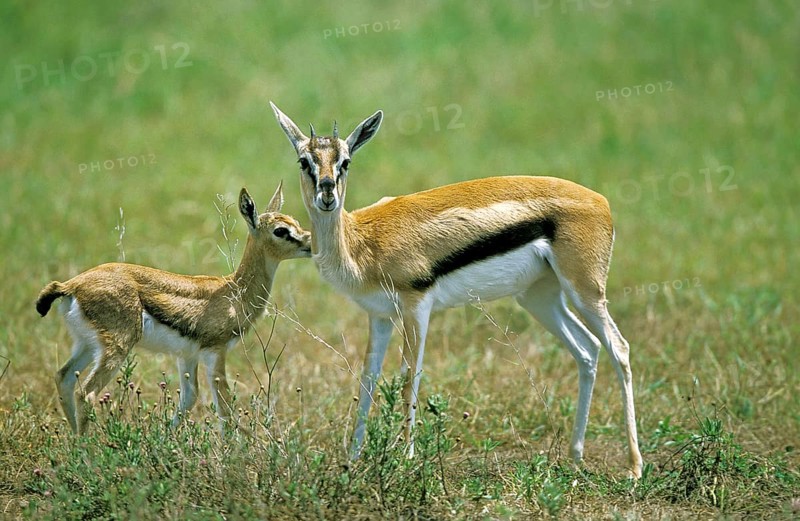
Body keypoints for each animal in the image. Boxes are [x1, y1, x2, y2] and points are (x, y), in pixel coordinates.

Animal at [35, 184, 311, 434]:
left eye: (295, 222)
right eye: (281, 230)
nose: (310, 243)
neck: (233, 290)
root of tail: (72, 285)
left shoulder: (186, 356)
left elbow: (189, 398)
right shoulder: (215, 352)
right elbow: (224, 408)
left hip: (87, 345)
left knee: (64, 378)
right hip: (116, 348)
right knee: (87, 393)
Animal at [270, 103, 643, 478]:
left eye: (345, 161)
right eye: (305, 161)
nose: (327, 194)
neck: (361, 240)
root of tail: (601, 202)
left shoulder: (416, 307)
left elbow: (410, 378)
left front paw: (406, 460)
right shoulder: (380, 316)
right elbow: (368, 381)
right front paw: (352, 460)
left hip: (586, 290)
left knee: (619, 348)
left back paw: (634, 466)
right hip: (539, 298)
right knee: (587, 349)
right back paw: (576, 455)